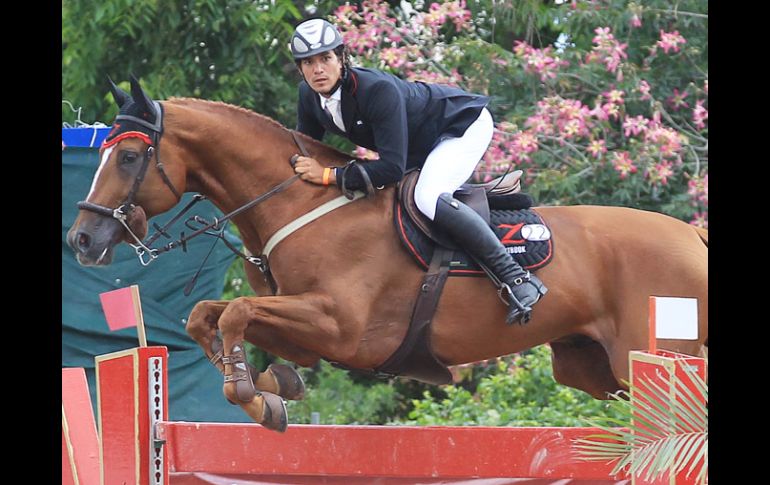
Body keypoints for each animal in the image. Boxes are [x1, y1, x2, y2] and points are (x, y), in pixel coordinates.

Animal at [67, 79, 708, 432]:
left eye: (129, 158)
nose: (82, 240)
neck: (299, 204)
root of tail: (693, 239)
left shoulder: (341, 328)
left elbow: (235, 314)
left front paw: (251, 389)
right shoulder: (307, 325)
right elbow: (210, 317)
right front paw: (271, 389)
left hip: (650, 353)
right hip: (591, 368)